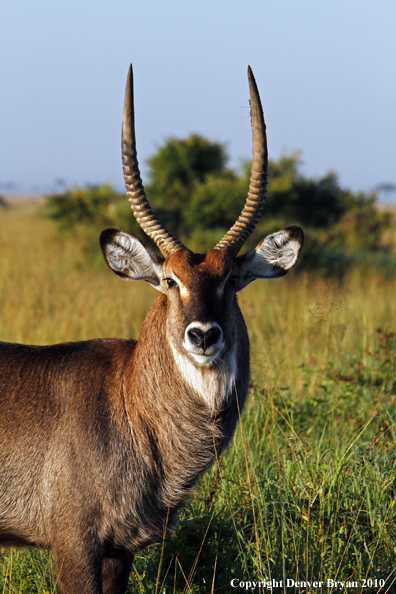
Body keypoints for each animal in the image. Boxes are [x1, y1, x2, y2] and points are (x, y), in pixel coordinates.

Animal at [0, 62, 304, 588]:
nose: (203, 334)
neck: (128, 400)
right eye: (168, 280)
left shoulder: (120, 550)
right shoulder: (73, 543)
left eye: (230, 279)